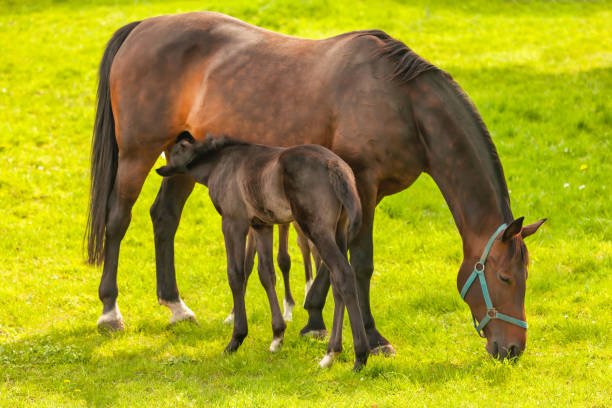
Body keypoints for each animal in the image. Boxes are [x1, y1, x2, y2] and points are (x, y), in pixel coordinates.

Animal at [157, 133, 368, 370]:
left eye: (173, 151)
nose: (160, 169)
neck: (220, 162)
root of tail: (336, 166)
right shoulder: (262, 225)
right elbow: (266, 274)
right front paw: (277, 337)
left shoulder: (233, 222)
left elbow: (236, 275)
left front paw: (236, 340)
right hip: (339, 230)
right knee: (336, 280)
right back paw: (330, 354)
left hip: (317, 229)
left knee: (343, 274)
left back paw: (358, 356)